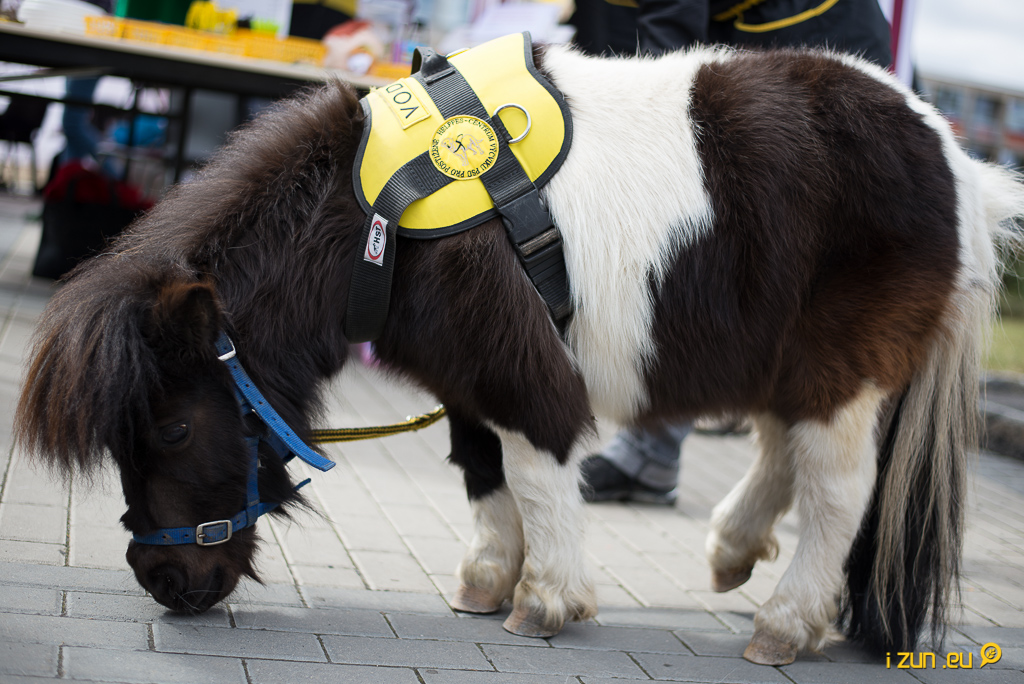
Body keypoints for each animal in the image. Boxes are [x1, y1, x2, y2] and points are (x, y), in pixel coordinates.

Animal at [15, 41, 1024, 666]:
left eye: (175, 431)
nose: (164, 580)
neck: (382, 215)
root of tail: (960, 165)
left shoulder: (516, 367)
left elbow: (535, 466)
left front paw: (545, 600)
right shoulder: (464, 377)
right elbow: (481, 469)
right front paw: (485, 580)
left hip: (842, 368)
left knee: (836, 489)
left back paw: (781, 623)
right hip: (790, 357)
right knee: (781, 450)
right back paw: (732, 552)